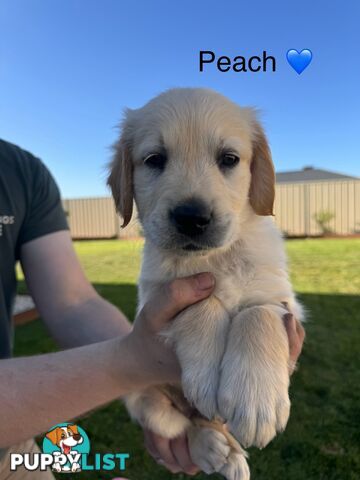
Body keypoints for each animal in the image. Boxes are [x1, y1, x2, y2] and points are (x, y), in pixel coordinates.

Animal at [107, 87, 304, 480]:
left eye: (229, 159)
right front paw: (207, 376)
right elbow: (204, 301)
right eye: (154, 159)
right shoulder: (155, 296)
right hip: (143, 399)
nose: (192, 217)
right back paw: (216, 449)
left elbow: (257, 313)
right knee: (186, 423)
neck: (212, 259)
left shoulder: (283, 299)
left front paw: (254, 398)